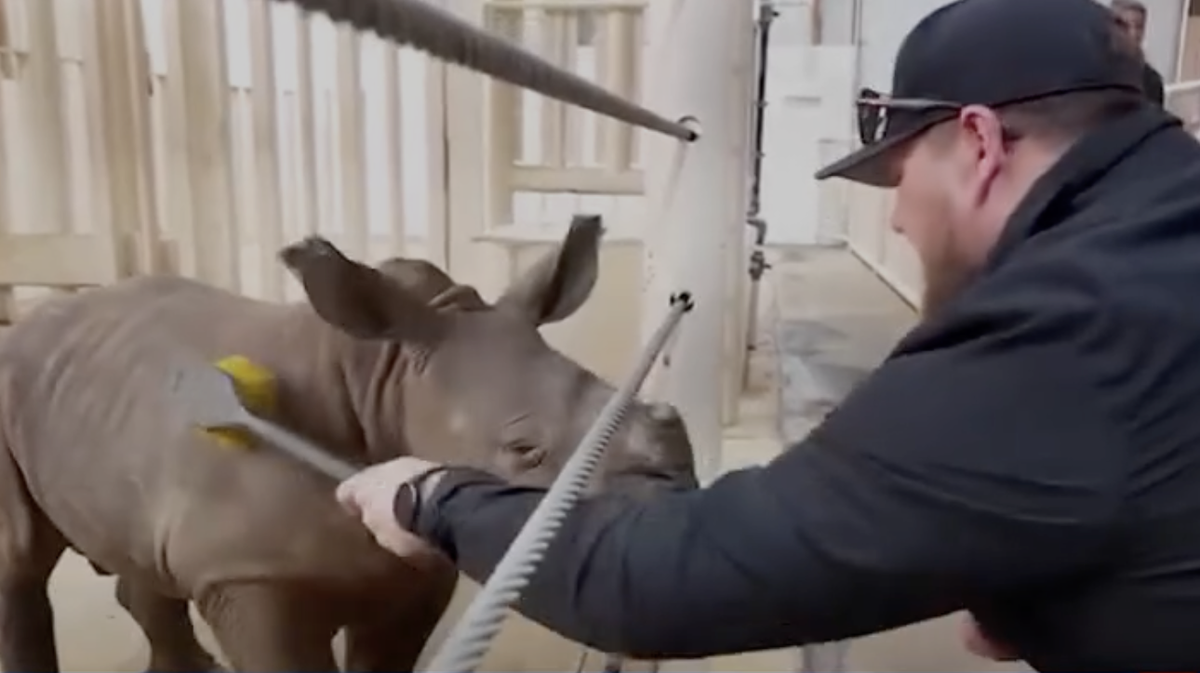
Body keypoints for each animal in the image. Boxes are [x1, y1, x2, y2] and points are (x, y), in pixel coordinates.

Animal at [0, 216, 698, 672]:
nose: (678, 490)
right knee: (22, 562)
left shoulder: (415, 562)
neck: (381, 379)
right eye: (523, 450)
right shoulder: (248, 575)